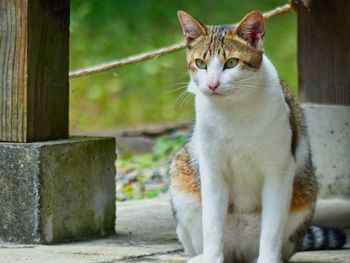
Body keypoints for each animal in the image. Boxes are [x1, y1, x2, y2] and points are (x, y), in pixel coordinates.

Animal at [168, 9, 346, 262]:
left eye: (231, 63)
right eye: (200, 63)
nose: (212, 84)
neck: (235, 110)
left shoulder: (279, 169)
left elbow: (272, 227)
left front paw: (268, 259)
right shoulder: (212, 168)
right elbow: (212, 223)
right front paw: (212, 257)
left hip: (304, 197)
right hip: (182, 182)